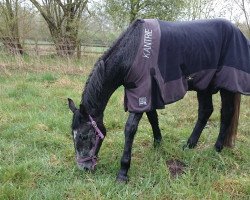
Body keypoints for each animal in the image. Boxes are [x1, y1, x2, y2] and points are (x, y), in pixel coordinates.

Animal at [68, 19, 250, 183]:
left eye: (84, 136)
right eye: (73, 135)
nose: (84, 168)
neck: (133, 52)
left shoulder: (142, 93)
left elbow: (130, 129)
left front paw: (123, 172)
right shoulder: (147, 93)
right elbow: (153, 118)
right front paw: (158, 143)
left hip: (226, 85)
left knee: (226, 113)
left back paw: (217, 148)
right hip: (204, 84)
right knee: (205, 111)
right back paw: (189, 145)